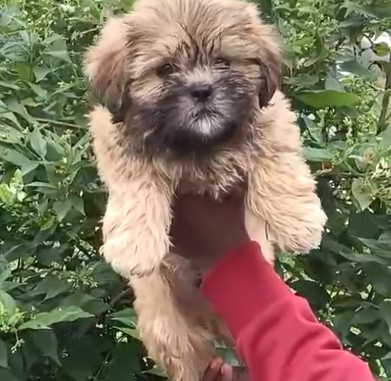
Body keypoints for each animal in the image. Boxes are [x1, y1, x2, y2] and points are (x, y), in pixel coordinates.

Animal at [83, 0, 328, 378]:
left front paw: (298, 221)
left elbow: (277, 159)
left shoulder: (271, 117)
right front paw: (135, 246)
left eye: (223, 61)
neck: (200, 144)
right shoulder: (116, 138)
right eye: (165, 69)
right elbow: (135, 182)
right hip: (170, 332)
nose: (201, 90)